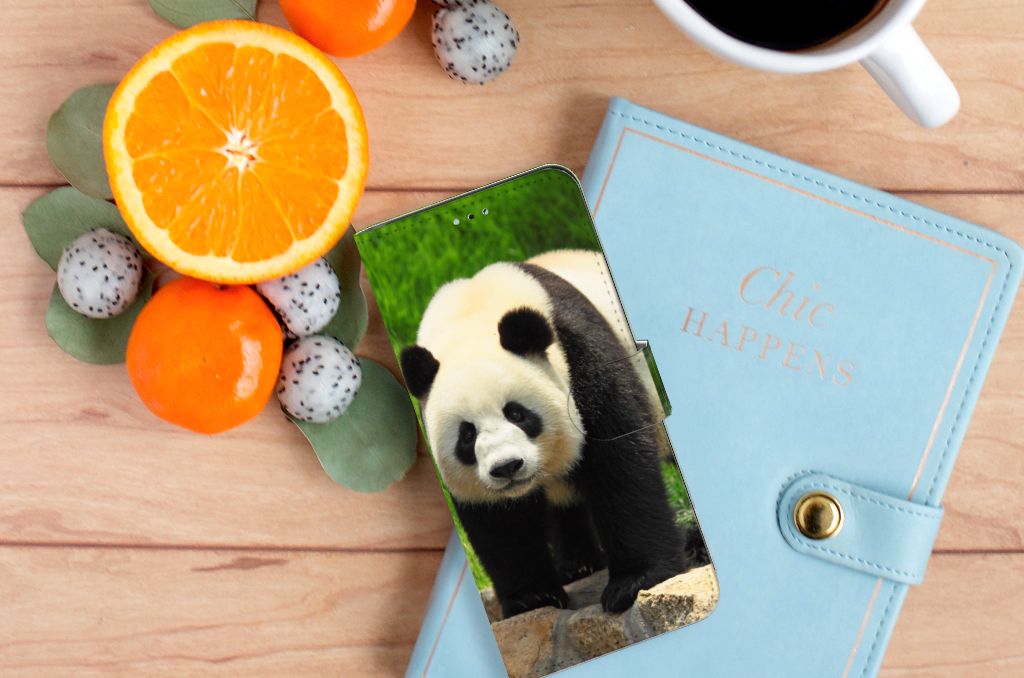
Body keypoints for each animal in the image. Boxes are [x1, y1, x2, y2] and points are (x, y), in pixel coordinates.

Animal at [400, 249, 686, 618]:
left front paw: (634, 582)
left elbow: (620, 463)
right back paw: (578, 563)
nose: (507, 467)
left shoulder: (580, 356)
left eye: (517, 413)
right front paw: (532, 597)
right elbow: (500, 520)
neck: (471, 318)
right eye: (467, 435)